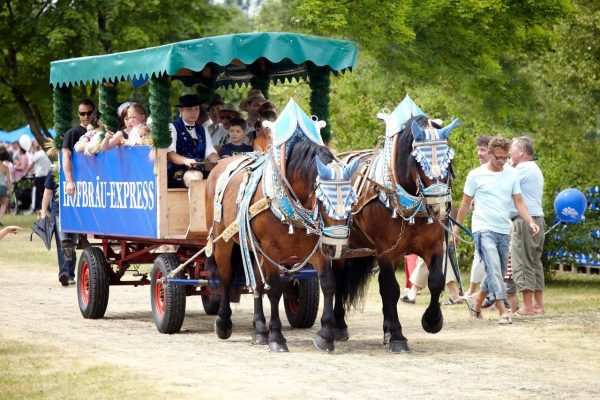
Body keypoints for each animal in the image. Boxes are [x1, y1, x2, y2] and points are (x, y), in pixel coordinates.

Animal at [204, 140, 358, 350]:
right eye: (323, 200)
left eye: (352, 201)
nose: (338, 248)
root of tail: (218, 165)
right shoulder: (271, 250)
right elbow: (275, 290)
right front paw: (276, 337)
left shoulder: (318, 250)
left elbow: (328, 283)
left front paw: (326, 335)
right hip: (222, 240)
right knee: (226, 277)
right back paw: (223, 323)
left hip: (253, 247)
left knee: (257, 282)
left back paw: (259, 330)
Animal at [336, 115, 458, 354]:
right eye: (420, 162)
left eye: (449, 161)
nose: (440, 208)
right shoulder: (386, 252)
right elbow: (392, 289)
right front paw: (398, 337)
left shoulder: (434, 245)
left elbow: (436, 281)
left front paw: (432, 321)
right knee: (337, 281)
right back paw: (338, 326)